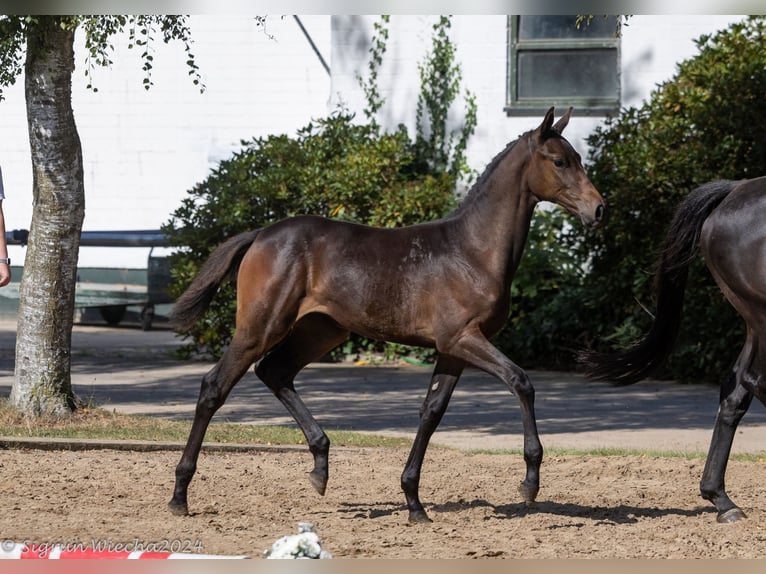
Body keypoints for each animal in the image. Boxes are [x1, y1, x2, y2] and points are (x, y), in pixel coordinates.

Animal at [168, 106, 608, 524]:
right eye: (559, 161)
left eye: (578, 158)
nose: (599, 209)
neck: (472, 250)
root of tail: (260, 234)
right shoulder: (463, 338)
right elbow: (521, 382)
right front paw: (530, 482)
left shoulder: (451, 349)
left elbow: (431, 411)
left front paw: (414, 501)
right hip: (261, 325)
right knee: (215, 387)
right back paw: (179, 495)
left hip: (321, 331)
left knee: (275, 371)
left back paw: (320, 466)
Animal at [584, 178, 766, 524]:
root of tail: (734, 190)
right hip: (761, 315)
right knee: (752, 382)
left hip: (753, 321)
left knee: (736, 393)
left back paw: (722, 500)